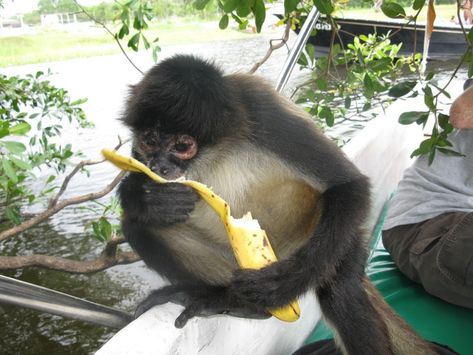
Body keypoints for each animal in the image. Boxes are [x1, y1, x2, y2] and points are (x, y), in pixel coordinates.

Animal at [117, 55, 436, 355]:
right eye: (149, 140)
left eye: (182, 146)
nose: (159, 165)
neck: (217, 149)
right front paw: (146, 199)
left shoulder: (261, 108)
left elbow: (349, 185)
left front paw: (282, 284)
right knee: (137, 226)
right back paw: (236, 303)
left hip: (328, 240)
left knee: (340, 290)